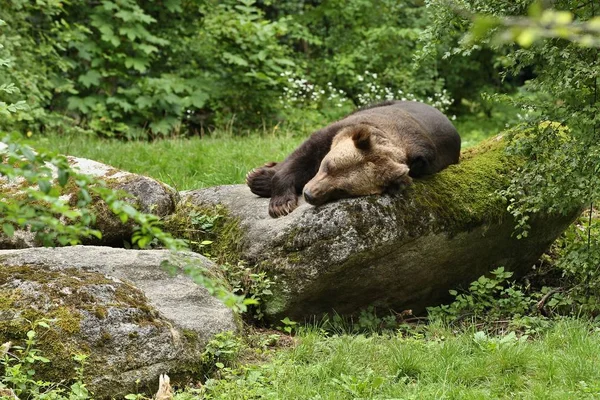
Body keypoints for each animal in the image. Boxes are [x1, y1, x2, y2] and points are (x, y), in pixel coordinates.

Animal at [246, 100, 462, 219]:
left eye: (343, 190)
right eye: (327, 166)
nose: (309, 194)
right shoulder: (341, 129)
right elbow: (303, 156)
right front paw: (279, 202)